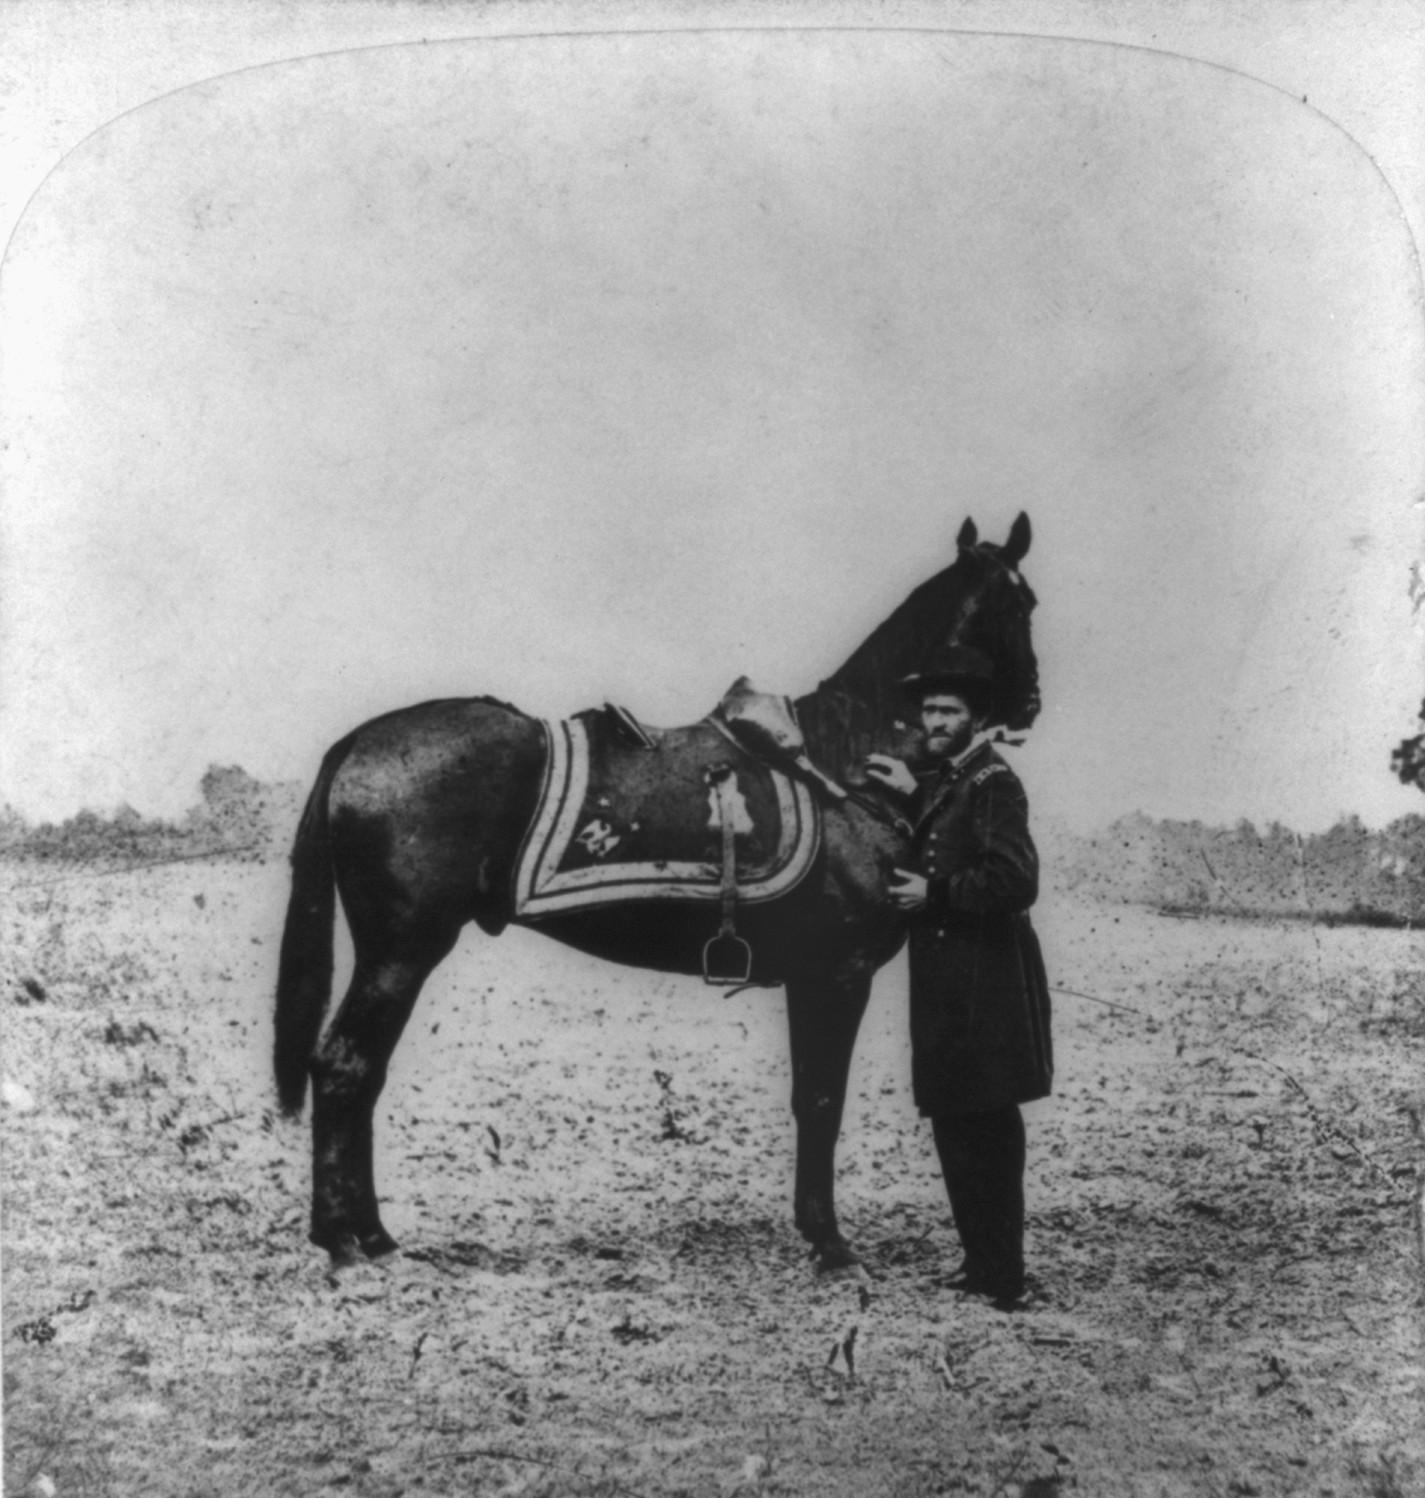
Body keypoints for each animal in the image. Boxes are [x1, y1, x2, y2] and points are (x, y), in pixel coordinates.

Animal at [274, 514, 1040, 1269]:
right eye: (1018, 605)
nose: (1030, 703)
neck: (842, 766)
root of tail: (357, 744)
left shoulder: (809, 978)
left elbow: (805, 1099)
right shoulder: (838, 974)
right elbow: (824, 1100)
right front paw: (830, 1243)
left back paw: (368, 1234)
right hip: (400, 953)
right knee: (345, 1067)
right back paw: (348, 1242)